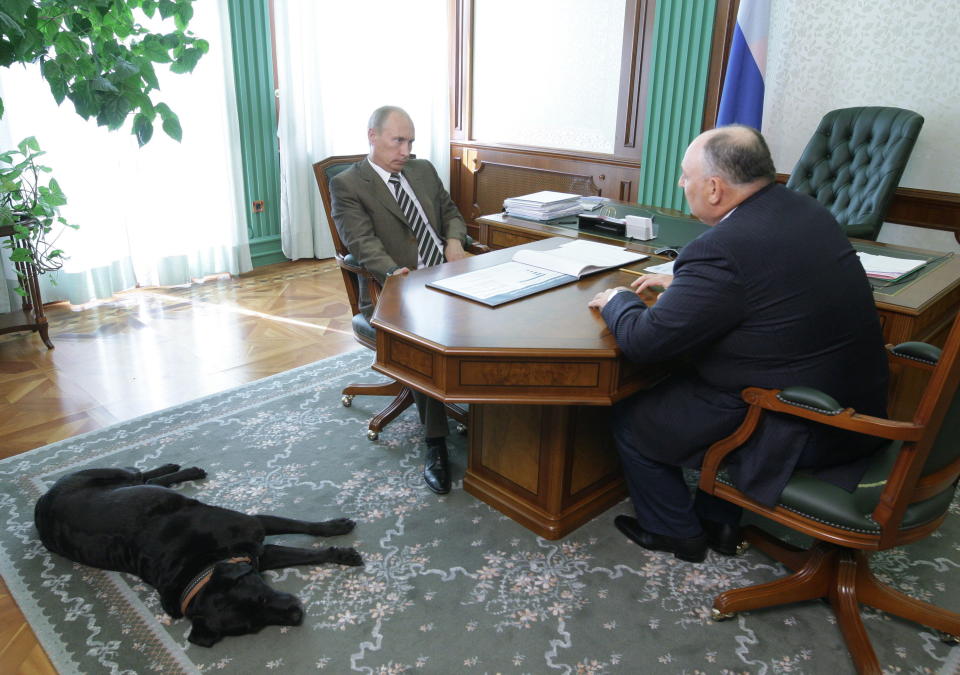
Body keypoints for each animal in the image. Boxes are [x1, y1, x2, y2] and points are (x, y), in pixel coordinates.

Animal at [34, 464, 364, 648]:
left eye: (260, 597)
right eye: (251, 628)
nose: (297, 616)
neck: (199, 568)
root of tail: (41, 501)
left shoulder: (253, 525)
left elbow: (305, 529)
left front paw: (337, 531)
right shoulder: (258, 554)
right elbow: (306, 553)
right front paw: (341, 552)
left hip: (113, 474)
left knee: (143, 476)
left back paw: (181, 469)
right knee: (146, 481)